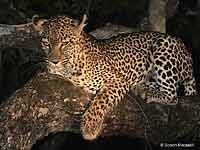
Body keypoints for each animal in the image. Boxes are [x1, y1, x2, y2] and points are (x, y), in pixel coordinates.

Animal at [32, 14, 197, 141]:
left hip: (163, 48)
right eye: (46, 43)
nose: (54, 61)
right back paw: (142, 87)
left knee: (173, 96)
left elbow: (100, 101)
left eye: (65, 43)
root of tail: (188, 54)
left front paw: (90, 127)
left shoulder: (117, 80)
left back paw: (149, 93)